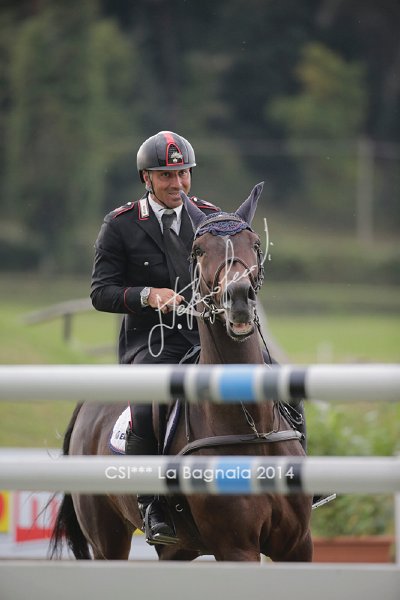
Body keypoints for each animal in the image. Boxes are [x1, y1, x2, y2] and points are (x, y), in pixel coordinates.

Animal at [50, 182, 313, 562]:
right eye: (199, 250)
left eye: (255, 244)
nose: (238, 299)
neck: (253, 428)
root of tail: (87, 405)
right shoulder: (237, 548)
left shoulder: (297, 545)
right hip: (107, 539)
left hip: (178, 549)